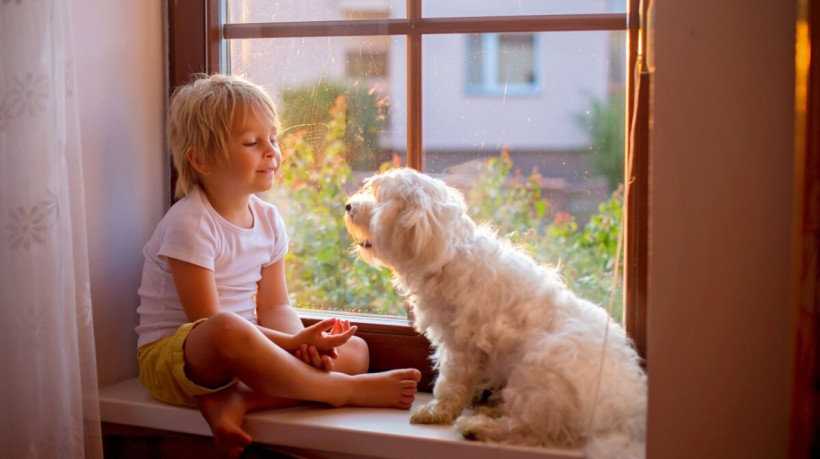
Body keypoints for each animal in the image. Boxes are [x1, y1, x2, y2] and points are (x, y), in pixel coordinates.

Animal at [344, 170, 648, 459]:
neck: (448, 255)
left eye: (379, 197)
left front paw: (436, 412)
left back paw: (477, 427)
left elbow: (450, 383)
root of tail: (623, 417)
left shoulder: (460, 347)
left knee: (527, 430)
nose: (348, 205)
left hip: (535, 372)